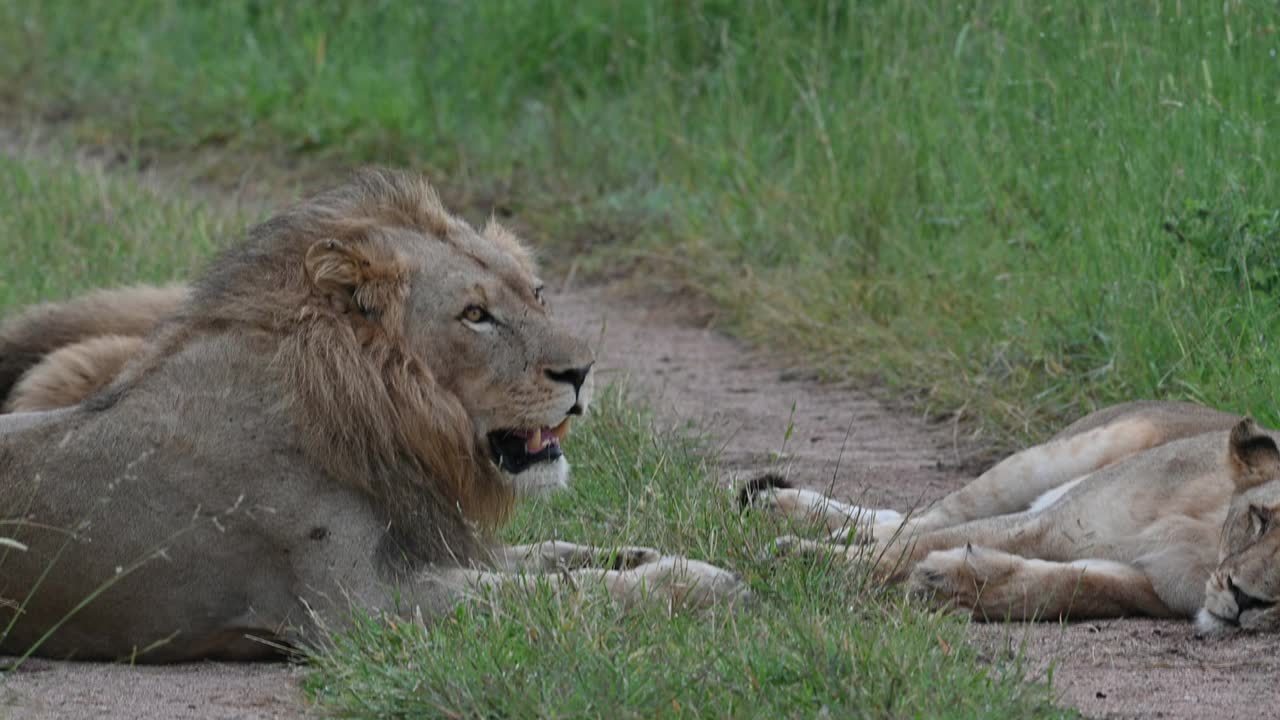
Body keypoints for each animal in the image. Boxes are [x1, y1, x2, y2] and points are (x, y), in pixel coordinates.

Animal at [0, 167, 747, 661]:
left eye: (536, 292)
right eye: (474, 315)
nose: (582, 371)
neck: (386, 421)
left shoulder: (429, 543)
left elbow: (553, 557)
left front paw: (659, 556)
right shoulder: (363, 607)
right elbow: (553, 593)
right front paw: (696, 584)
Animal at [747, 399, 1280, 635]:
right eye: (1261, 518)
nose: (1246, 600)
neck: (1206, 540)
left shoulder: (1149, 585)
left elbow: (1069, 588)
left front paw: (952, 582)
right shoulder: (1049, 524)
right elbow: (905, 548)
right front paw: (807, 562)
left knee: (906, 519)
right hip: (1061, 455)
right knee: (928, 517)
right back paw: (780, 511)